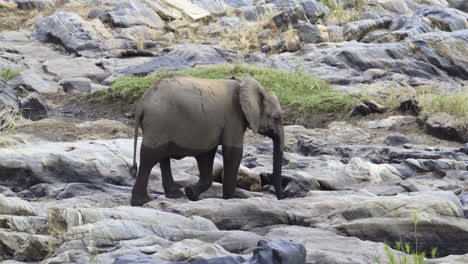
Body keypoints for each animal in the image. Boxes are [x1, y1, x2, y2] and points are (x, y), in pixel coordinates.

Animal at [129, 72, 286, 206]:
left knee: (163, 155)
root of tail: (142, 103)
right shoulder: (234, 119)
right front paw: (231, 198)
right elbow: (233, 152)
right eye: (277, 118)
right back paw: (140, 202)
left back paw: (175, 194)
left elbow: (206, 155)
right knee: (150, 156)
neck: (245, 85)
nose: (281, 199)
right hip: (158, 122)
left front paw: (191, 193)